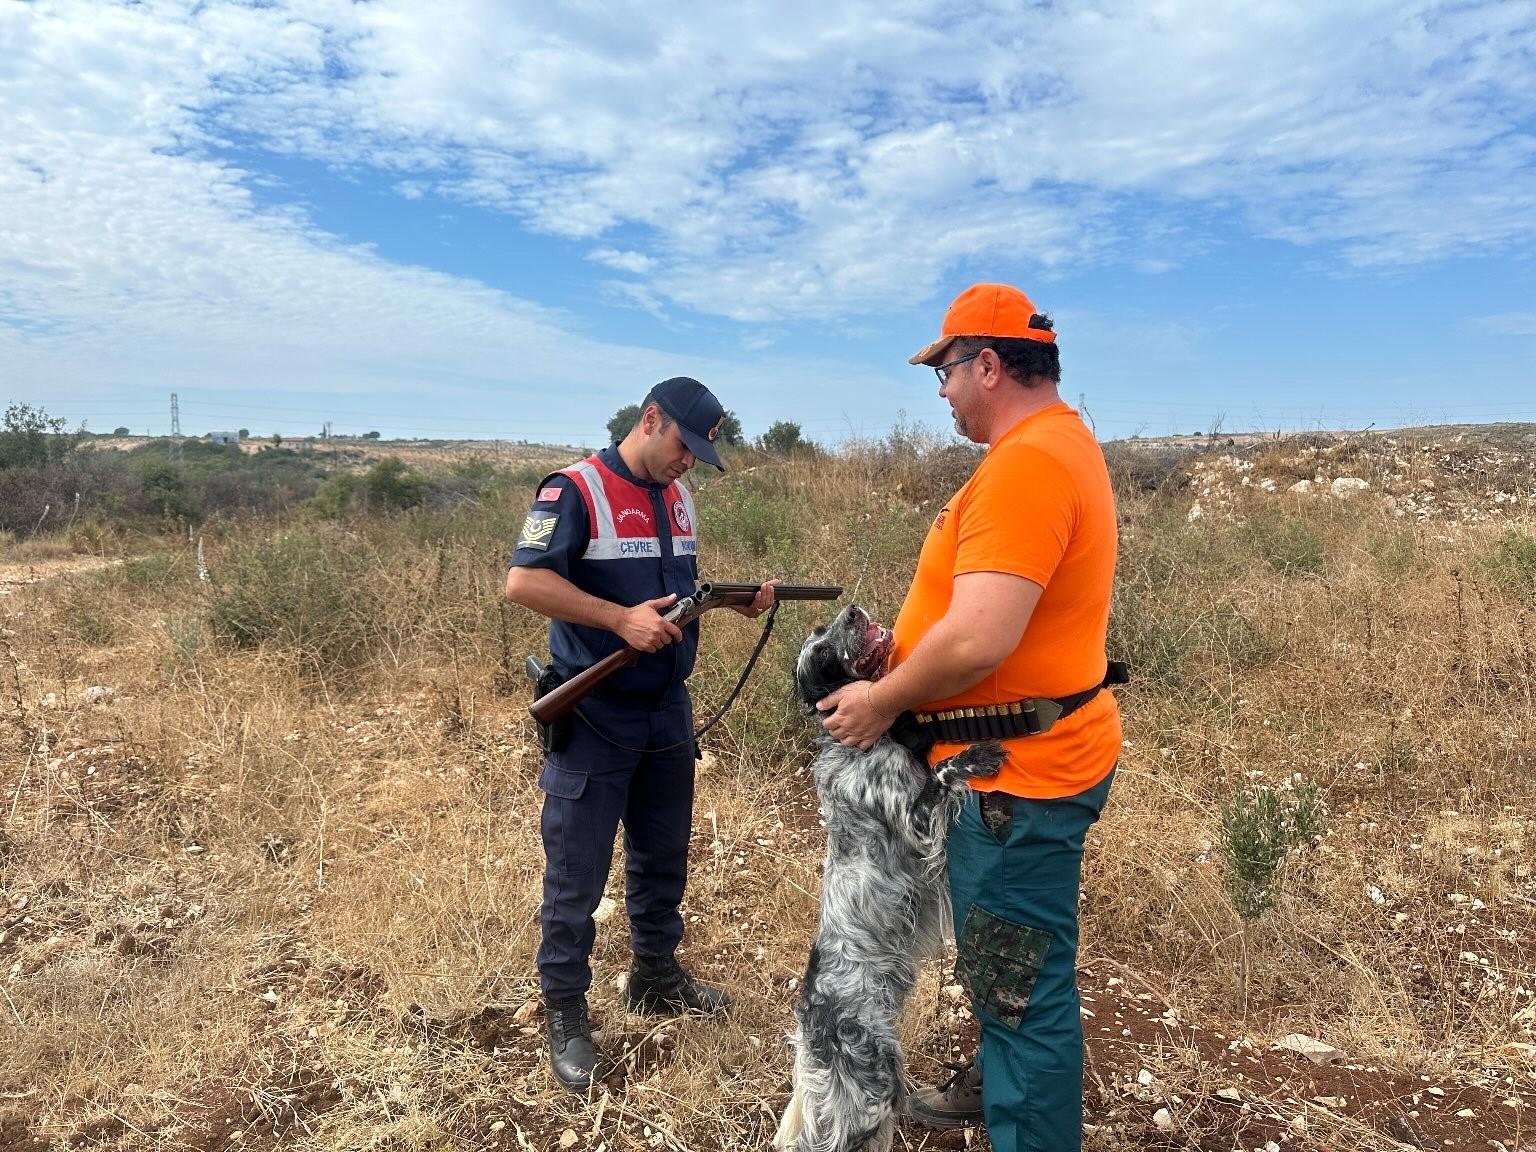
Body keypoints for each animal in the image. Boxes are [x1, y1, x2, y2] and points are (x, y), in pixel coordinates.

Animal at [774, 605, 1001, 1152]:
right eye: (826, 653)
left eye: (824, 630)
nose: (853, 611)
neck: (858, 742)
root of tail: (809, 1026)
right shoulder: (918, 825)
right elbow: (943, 772)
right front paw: (976, 756)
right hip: (872, 1087)